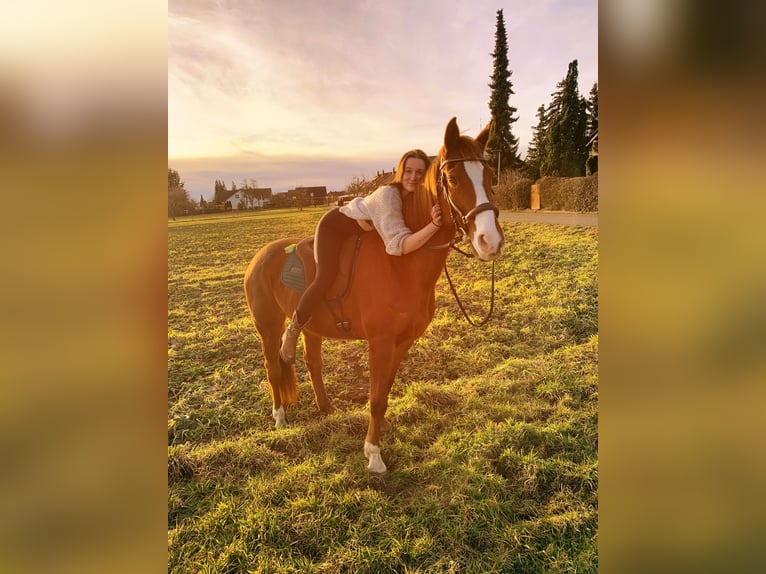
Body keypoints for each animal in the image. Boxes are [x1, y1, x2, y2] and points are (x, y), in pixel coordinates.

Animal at [243, 116, 504, 472]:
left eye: (490, 176)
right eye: (452, 178)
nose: (490, 241)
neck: (402, 265)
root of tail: (260, 256)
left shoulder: (401, 342)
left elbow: (384, 394)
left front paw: (378, 436)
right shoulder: (379, 343)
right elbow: (376, 397)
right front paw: (373, 454)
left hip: (312, 327)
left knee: (313, 363)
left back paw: (326, 408)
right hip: (268, 326)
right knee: (273, 366)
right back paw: (280, 416)